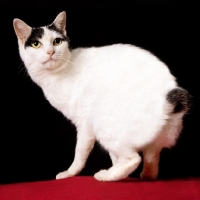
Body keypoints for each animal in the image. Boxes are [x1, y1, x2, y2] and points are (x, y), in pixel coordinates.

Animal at [12, 11, 191, 182]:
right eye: (36, 44)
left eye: (57, 41)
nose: (50, 52)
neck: (56, 75)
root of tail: (166, 100)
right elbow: (114, 157)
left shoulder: (85, 124)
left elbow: (80, 153)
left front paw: (69, 173)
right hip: (152, 143)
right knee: (150, 164)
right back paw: (135, 174)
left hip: (102, 123)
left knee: (133, 158)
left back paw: (105, 176)